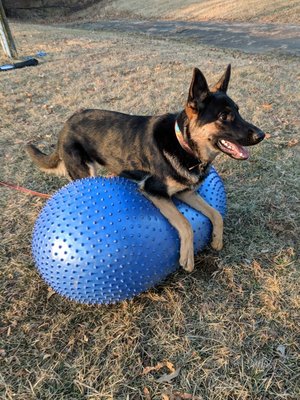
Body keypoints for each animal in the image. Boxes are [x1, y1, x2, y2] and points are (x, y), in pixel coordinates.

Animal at [26, 65, 264, 272]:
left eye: (238, 111)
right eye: (224, 116)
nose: (262, 135)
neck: (183, 144)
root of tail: (66, 124)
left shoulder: (185, 192)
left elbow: (216, 214)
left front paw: (217, 240)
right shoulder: (154, 191)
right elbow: (185, 223)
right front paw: (187, 257)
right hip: (83, 172)